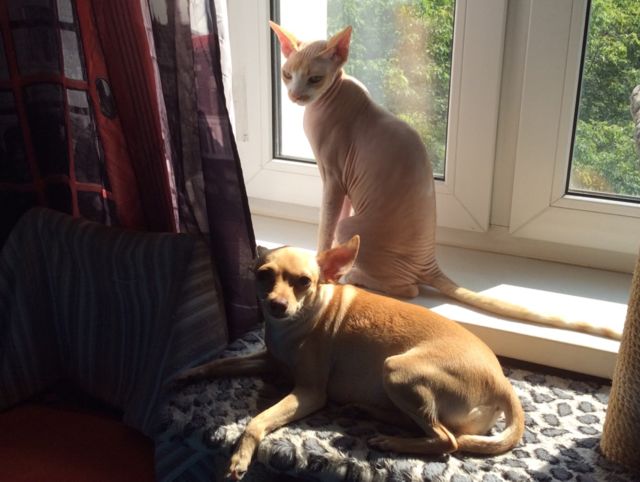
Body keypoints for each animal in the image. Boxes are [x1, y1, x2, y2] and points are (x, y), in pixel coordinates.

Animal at [177, 235, 524, 480]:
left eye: (304, 282)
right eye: (263, 275)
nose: (276, 305)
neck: (295, 324)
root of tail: (502, 384)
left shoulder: (309, 393)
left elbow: (256, 421)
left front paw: (240, 456)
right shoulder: (269, 360)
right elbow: (222, 363)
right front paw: (189, 372)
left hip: (396, 370)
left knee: (447, 439)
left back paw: (392, 442)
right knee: (428, 426)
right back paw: (368, 412)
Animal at [269, 21, 621, 340]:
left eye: (315, 79)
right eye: (287, 74)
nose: (295, 95)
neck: (334, 96)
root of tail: (430, 263)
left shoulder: (333, 178)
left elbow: (326, 225)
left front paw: (322, 264)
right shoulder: (342, 185)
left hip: (355, 226)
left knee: (409, 289)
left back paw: (356, 276)